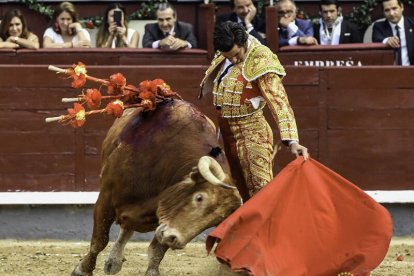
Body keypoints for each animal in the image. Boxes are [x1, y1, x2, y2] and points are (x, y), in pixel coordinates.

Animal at [69, 99, 241, 276]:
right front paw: (82, 270)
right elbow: (99, 241)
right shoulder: (105, 199)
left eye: (216, 221)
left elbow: (156, 251)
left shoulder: (165, 218)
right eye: (199, 198)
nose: (175, 240)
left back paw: (113, 261)